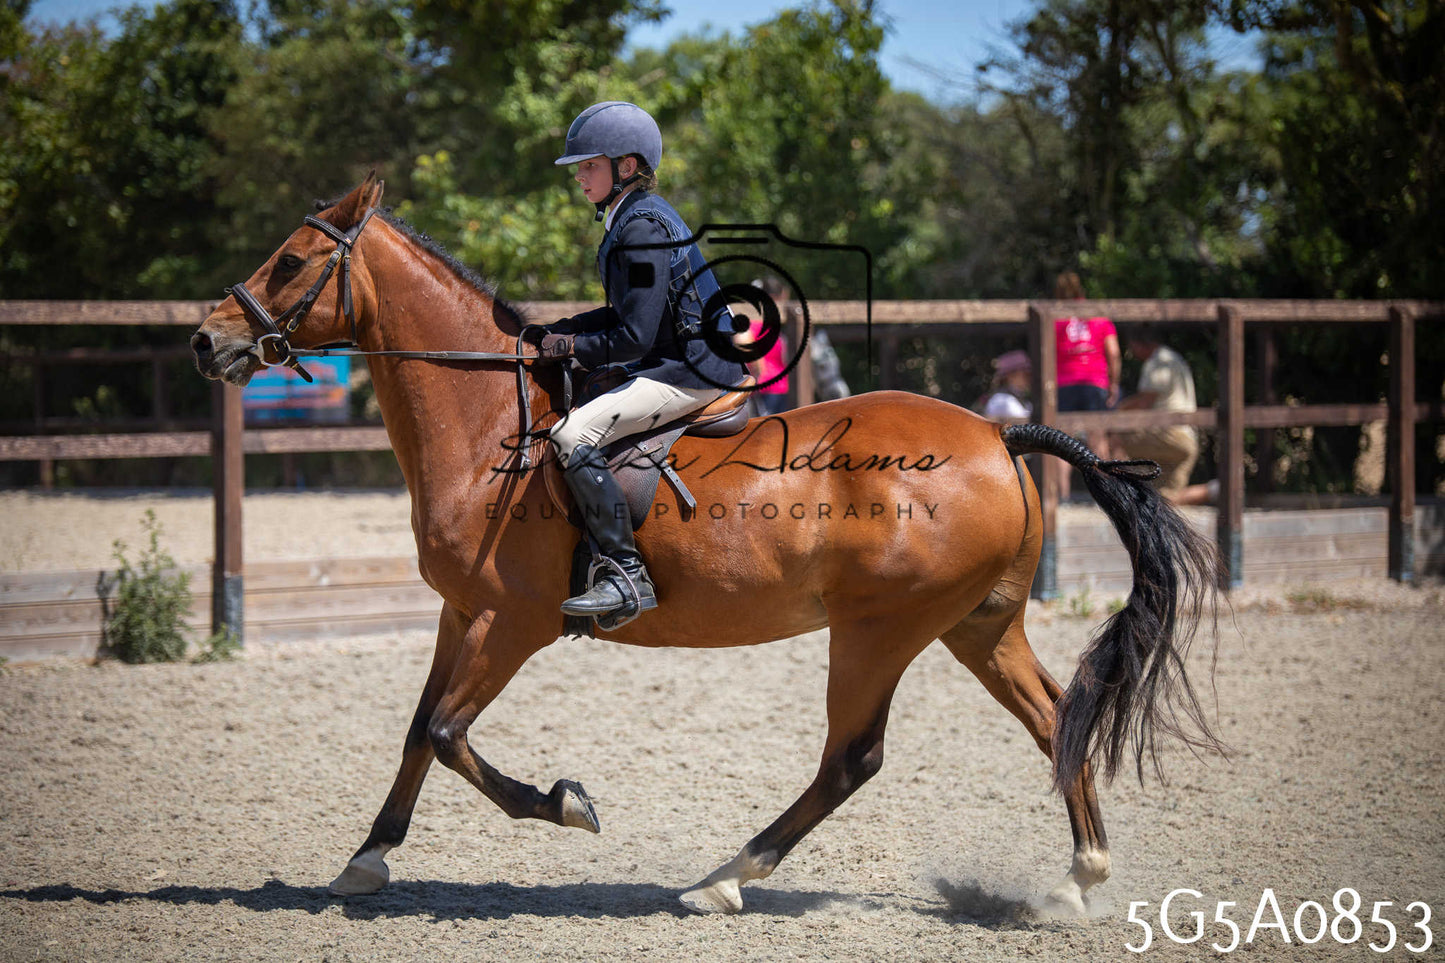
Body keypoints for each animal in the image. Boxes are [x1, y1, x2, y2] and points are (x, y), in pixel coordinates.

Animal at [190, 174, 1223, 916]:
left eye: (290, 263)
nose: (205, 341)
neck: (489, 426)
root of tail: (998, 435)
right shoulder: (461, 611)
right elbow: (417, 730)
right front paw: (365, 860)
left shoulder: (513, 620)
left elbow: (449, 733)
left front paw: (566, 802)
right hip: (978, 624)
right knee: (1056, 718)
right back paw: (1076, 880)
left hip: (879, 630)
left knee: (852, 757)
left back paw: (722, 877)